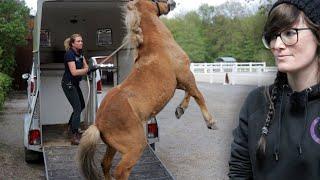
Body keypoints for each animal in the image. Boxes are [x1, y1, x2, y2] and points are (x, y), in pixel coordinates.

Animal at [78, 0, 218, 179]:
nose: (173, 3)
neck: (158, 43)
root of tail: (99, 122)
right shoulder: (186, 75)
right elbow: (198, 95)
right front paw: (210, 122)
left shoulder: (179, 81)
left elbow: (189, 93)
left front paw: (180, 110)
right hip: (135, 147)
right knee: (121, 171)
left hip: (113, 147)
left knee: (105, 164)